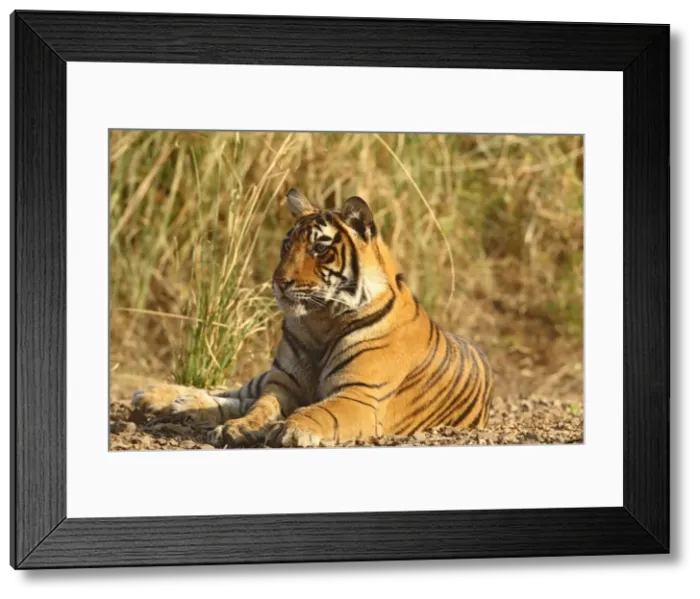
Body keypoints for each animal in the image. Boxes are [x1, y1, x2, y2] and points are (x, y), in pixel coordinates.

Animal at [132, 187, 494, 448]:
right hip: (268, 376)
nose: (279, 281)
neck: (322, 319)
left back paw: (179, 403)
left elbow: (320, 409)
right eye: (287, 245)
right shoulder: (282, 383)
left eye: (319, 249)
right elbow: (259, 407)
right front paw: (239, 428)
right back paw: (159, 396)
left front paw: (292, 428)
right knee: (240, 391)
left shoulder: (359, 395)